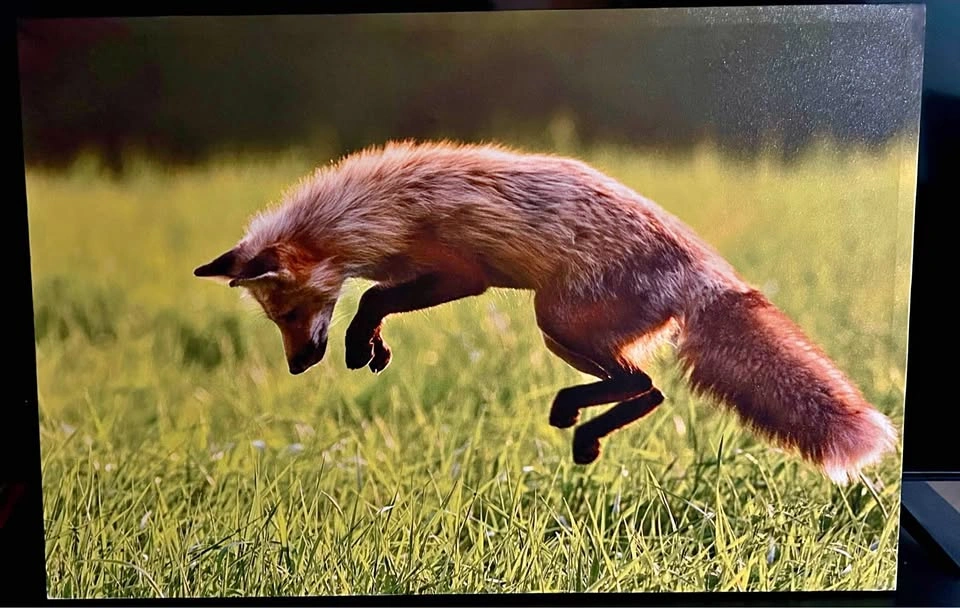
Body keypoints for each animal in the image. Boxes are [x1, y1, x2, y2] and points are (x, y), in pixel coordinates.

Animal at [194, 140, 898, 485]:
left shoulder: (461, 274)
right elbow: (374, 303)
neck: (367, 214)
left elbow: (369, 297)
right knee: (648, 390)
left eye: (290, 311)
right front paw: (372, 347)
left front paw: (360, 342)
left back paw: (577, 423)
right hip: (564, 328)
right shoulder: (415, 274)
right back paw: (584, 429)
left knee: (644, 386)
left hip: (553, 318)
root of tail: (711, 274)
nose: (298, 366)